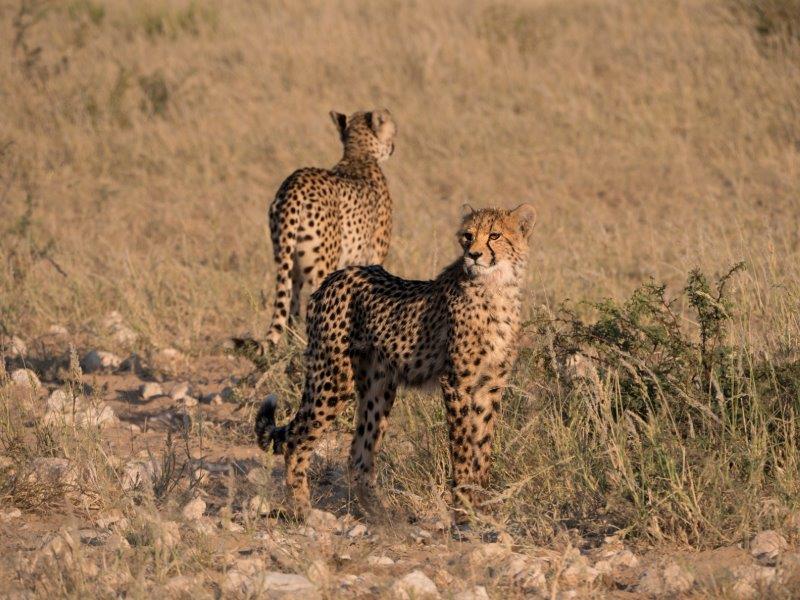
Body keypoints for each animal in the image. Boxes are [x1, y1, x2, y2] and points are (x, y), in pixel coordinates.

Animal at [233, 108, 396, 356]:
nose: (394, 146)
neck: (359, 154)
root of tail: (294, 185)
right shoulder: (374, 258)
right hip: (321, 267)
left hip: (289, 262)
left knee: (291, 310)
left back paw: (294, 348)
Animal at [256, 203, 536, 520]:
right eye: (468, 235)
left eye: (495, 235)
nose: (473, 254)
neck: (495, 287)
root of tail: (334, 277)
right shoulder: (456, 383)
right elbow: (464, 445)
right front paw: (464, 507)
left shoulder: (490, 387)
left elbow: (482, 445)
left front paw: (480, 504)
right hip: (333, 377)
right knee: (296, 439)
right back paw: (304, 510)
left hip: (378, 388)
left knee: (358, 454)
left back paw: (381, 516)